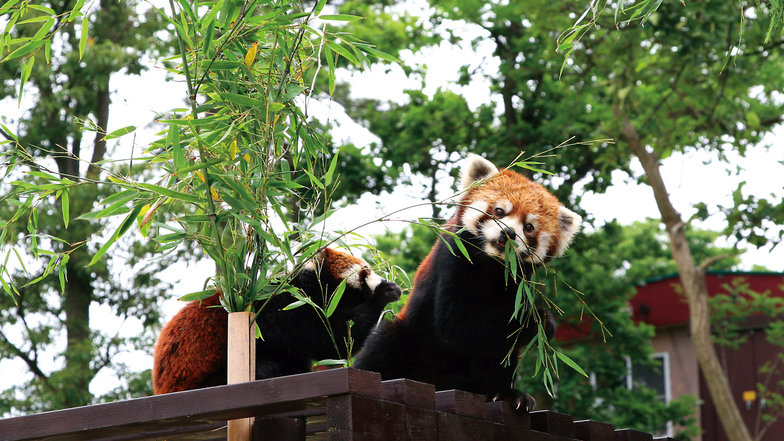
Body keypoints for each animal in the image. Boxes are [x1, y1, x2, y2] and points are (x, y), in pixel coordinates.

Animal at [152, 246, 404, 394]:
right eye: (365, 271)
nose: (382, 278)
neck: (304, 289)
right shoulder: (282, 312)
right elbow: (330, 340)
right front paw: (383, 294)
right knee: (267, 368)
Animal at [352, 154, 580, 410]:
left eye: (529, 227)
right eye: (499, 211)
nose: (508, 233)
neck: (491, 263)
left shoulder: (517, 284)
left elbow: (498, 348)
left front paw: (505, 392)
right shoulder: (454, 258)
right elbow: (457, 324)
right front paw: (538, 322)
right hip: (406, 337)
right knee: (383, 342)